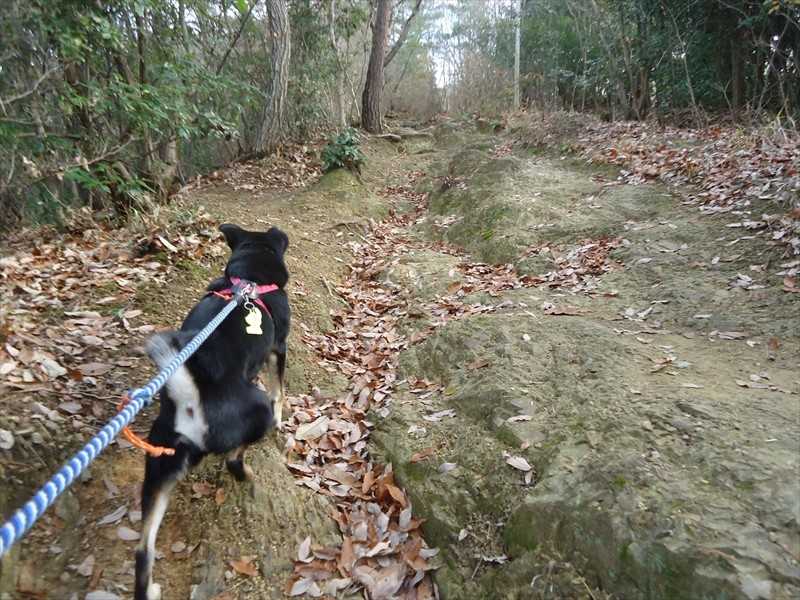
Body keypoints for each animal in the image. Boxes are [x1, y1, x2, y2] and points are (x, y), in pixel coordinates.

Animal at [134, 223, 291, 600]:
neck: (249, 278)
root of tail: (191, 403)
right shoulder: (279, 348)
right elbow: (279, 390)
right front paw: (283, 416)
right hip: (255, 412)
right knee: (234, 460)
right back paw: (249, 476)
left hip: (159, 468)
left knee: (143, 550)